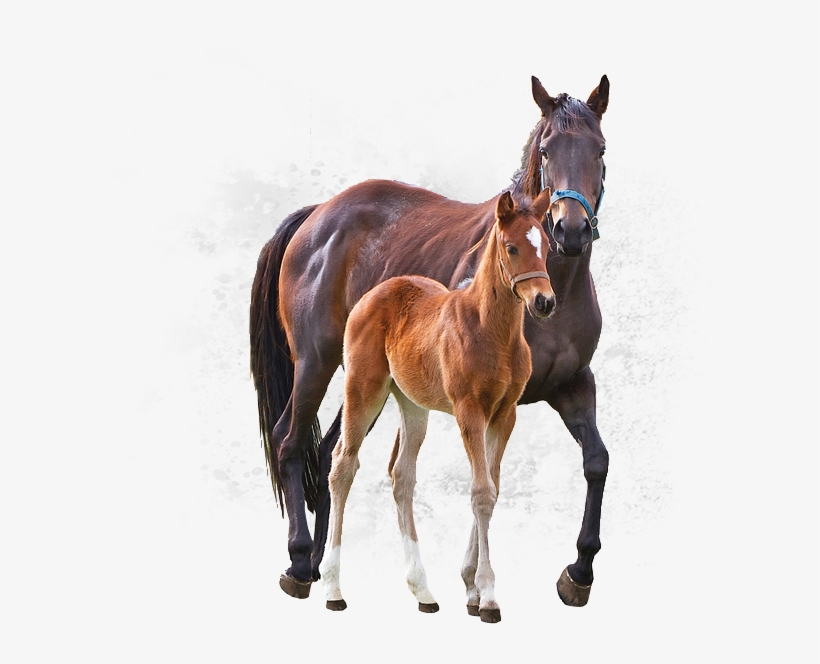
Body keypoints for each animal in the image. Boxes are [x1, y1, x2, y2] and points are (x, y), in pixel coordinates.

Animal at [320, 189, 555, 623]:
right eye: (511, 247)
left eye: (546, 247)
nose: (544, 302)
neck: (492, 332)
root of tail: (372, 294)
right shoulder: (469, 411)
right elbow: (481, 492)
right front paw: (487, 595)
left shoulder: (505, 414)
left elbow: (494, 487)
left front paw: (471, 590)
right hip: (363, 389)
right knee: (343, 465)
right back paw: (332, 588)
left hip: (413, 405)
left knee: (402, 476)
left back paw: (423, 591)